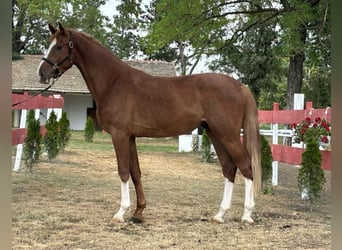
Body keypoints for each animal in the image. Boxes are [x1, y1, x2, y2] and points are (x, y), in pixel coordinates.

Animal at [37, 22, 260, 224]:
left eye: (59, 46)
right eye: (49, 43)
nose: (42, 73)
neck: (114, 82)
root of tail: (240, 86)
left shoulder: (119, 135)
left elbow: (123, 171)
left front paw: (120, 213)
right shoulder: (130, 137)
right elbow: (135, 172)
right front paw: (138, 212)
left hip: (228, 135)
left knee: (245, 165)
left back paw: (247, 215)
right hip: (214, 133)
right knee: (229, 168)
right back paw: (220, 215)